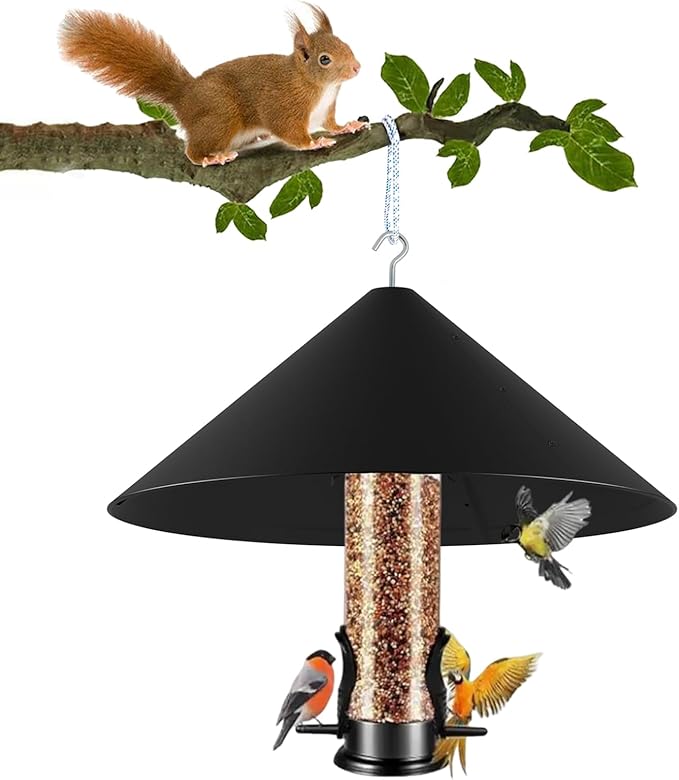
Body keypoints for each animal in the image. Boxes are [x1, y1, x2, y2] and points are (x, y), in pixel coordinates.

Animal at [58, 5, 366, 167]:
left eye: (345, 43)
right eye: (324, 59)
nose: (357, 67)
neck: (319, 86)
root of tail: (185, 96)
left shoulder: (325, 110)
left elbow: (331, 123)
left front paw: (348, 126)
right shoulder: (283, 105)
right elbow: (290, 132)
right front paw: (315, 142)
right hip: (221, 116)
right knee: (192, 151)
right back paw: (210, 158)